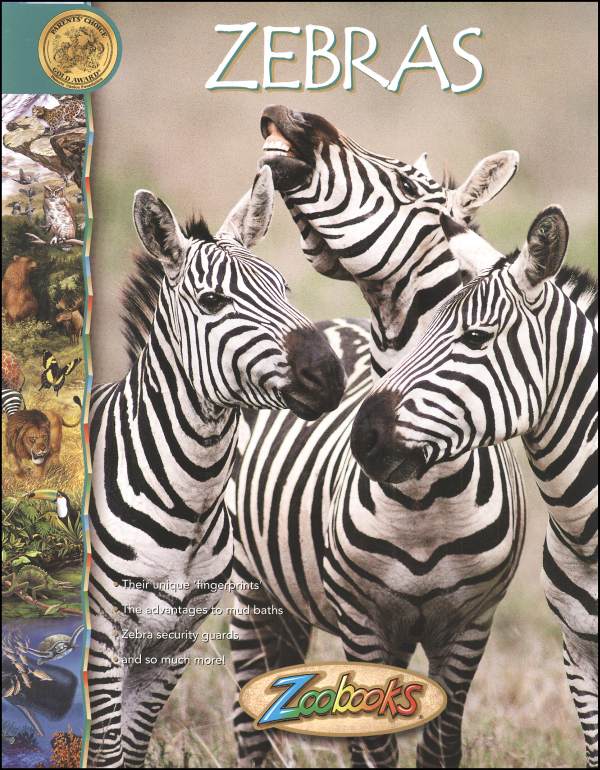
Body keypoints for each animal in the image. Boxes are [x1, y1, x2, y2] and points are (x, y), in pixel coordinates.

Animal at [87, 166, 346, 768]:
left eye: (284, 288)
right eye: (211, 301)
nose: (329, 375)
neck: (190, 503)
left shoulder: (171, 646)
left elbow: (132, 751)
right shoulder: (103, 639)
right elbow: (107, 752)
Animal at [230, 106, 526, 768]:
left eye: (410, 188)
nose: (288, 115)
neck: (424, 494)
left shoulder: (470, 626)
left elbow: (439, 744)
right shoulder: (362, 624)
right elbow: (373, 748)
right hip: (250, 586)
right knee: (249, 721)